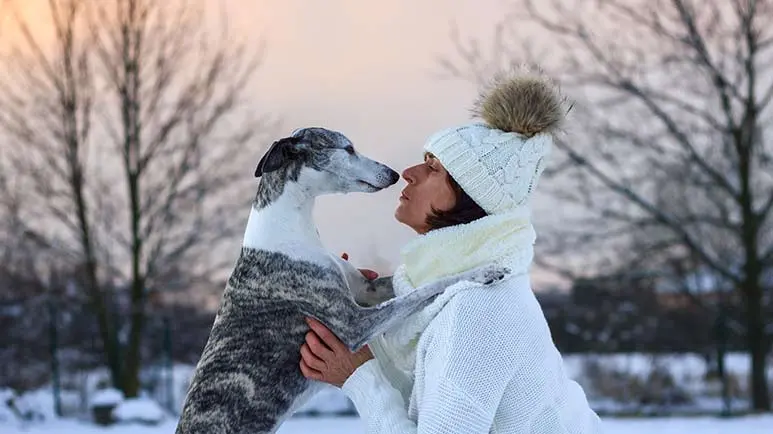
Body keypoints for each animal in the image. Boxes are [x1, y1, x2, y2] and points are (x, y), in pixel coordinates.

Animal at [177, 127, 510, 432]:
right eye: (348, 148)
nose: (393, 174)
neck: (288, 228)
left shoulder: (367, 288)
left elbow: (408, 285)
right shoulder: (354, 323)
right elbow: (424, 290)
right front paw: (483, 271)